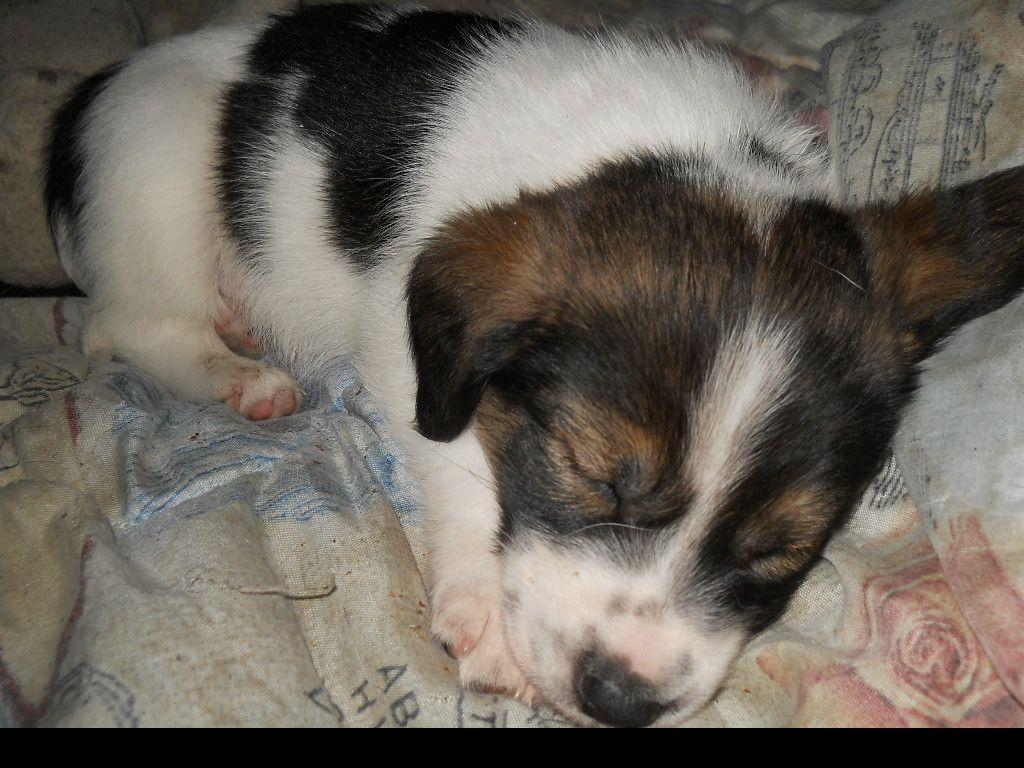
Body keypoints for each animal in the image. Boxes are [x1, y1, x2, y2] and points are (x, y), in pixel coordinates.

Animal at [45, 3, 1024, 726]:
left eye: (781, 550)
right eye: (590, 474)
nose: (621, 700)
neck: (674, 158)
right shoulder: (409, 345)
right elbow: (457, 453)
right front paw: (486, 603)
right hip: (155, 184)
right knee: (127, 327)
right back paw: (237, 374)